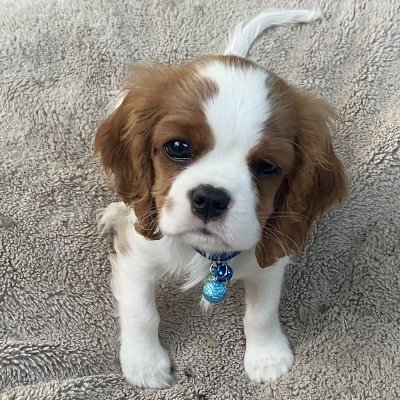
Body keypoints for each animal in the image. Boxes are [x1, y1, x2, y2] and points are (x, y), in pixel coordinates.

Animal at [95, 8, 348, 388]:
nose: (211, 199)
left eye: (267, 166)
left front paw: (267, 357)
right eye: (178, 147)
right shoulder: (137, 255)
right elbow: (141, 311)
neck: (207, 252)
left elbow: (261, 313)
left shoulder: (270, 257)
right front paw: (144, 363)